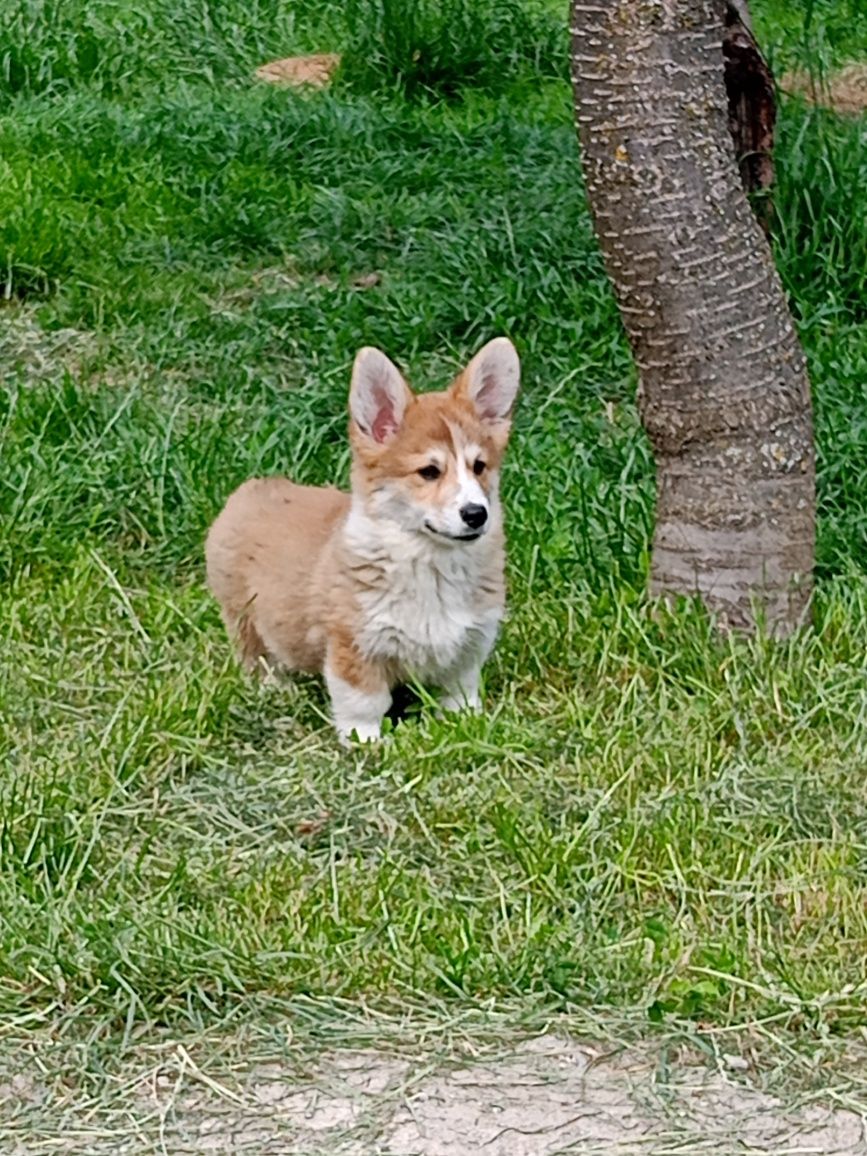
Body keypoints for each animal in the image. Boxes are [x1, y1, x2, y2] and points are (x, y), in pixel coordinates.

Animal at [206, 337, 520, 744]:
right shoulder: (354, 645)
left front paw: (465, 724)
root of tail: (251, 489)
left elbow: (459, 691)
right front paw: (366, 741)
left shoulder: (470, 644)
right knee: (257, 657)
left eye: (479, 467)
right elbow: (364, 702)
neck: (431, 562)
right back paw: (276, 690)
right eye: (429, 472)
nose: (476, 514)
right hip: (242, 615)